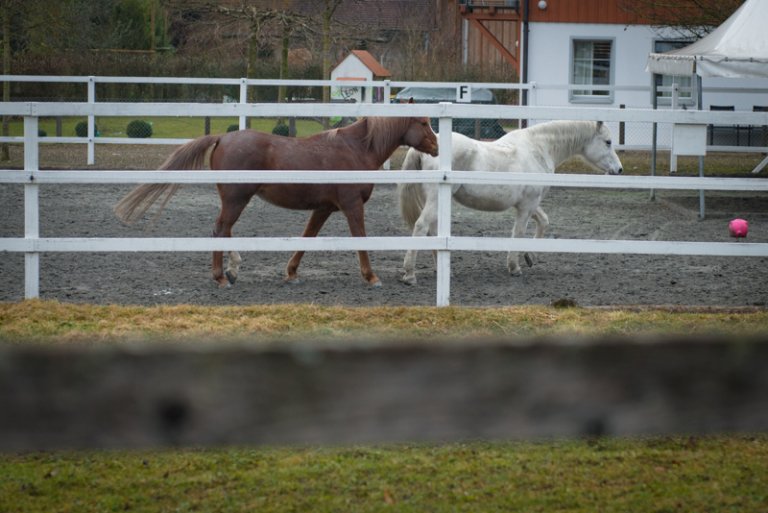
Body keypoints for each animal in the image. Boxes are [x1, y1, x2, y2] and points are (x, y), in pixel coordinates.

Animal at [113, 115, 438, 288]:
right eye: (423, 122)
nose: (436, 146)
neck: (355, 149)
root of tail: (222, 138)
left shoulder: (324, 208)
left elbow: (307, 237)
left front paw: (291, 273)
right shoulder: (351, 205)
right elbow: (361, 239)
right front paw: (371, 277)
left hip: (234, 200)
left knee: (225, 230)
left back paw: (233, 269)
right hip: (236, 199)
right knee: (220, 230)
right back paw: (221, 277)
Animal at [396, 120, 624, 284]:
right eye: (608, 142)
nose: (619, 169)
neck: (537, 149)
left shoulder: (530, 204)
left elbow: (544, 221)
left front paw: (530, 256)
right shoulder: (526, 206)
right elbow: (519, 233)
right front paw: (515, 267)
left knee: (432, 230)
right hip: (435, 199)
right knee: (421, 226)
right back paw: (410, 274)